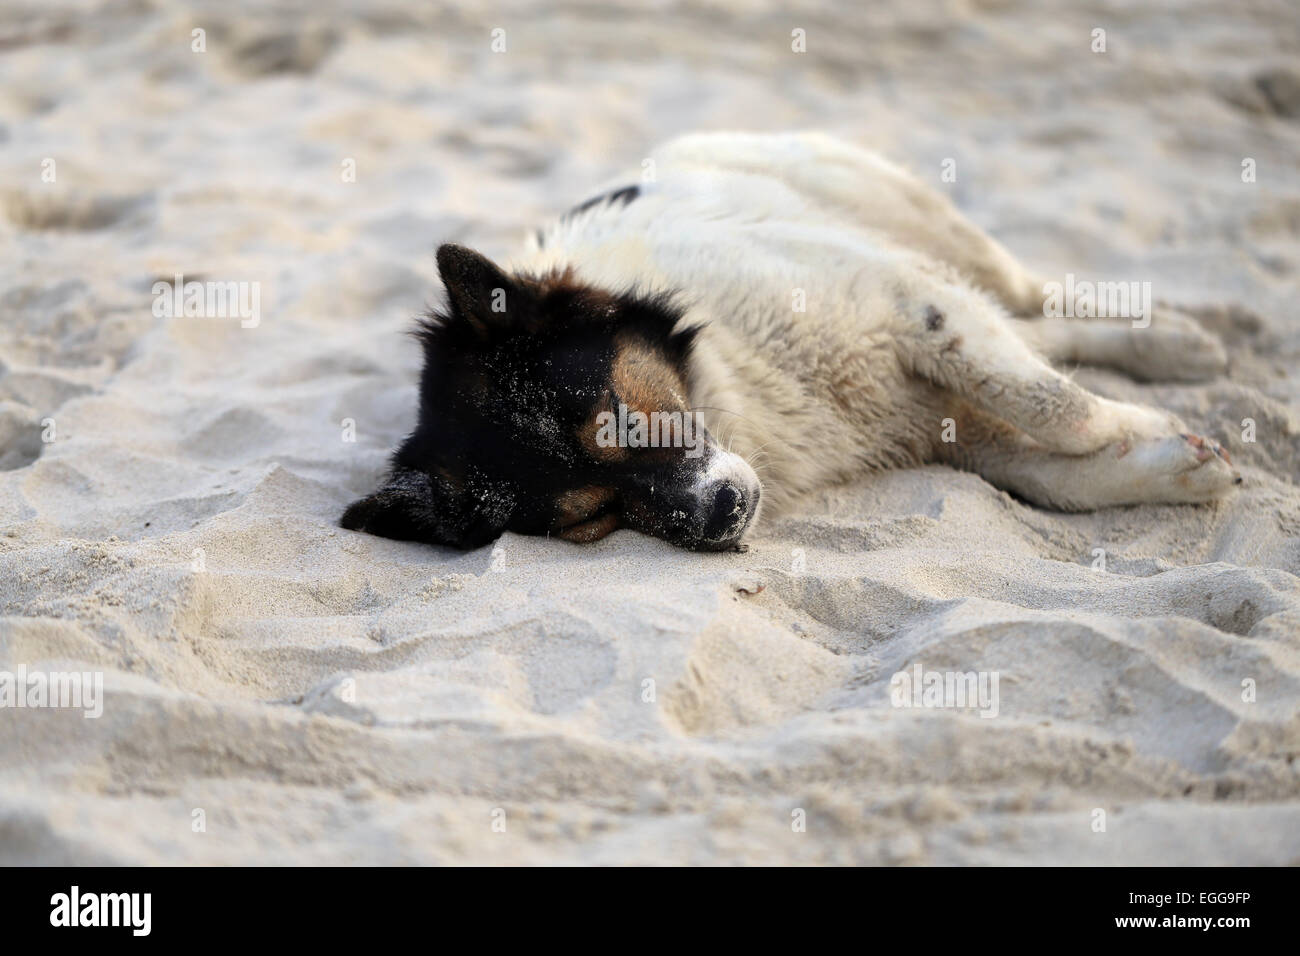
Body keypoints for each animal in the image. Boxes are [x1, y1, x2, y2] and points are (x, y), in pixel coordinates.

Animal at [338, 132, 1237, 554]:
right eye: (592, 518)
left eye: (627, 423)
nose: (722, 517)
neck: (733, 378)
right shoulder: (936, 420)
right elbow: (1058, 477)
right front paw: (1179, 467)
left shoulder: (906, 303)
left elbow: (1059, 409)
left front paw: (1152, 427)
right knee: (1027, 323)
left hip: (905, 217)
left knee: (1023, 292)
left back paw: (1178, 344)